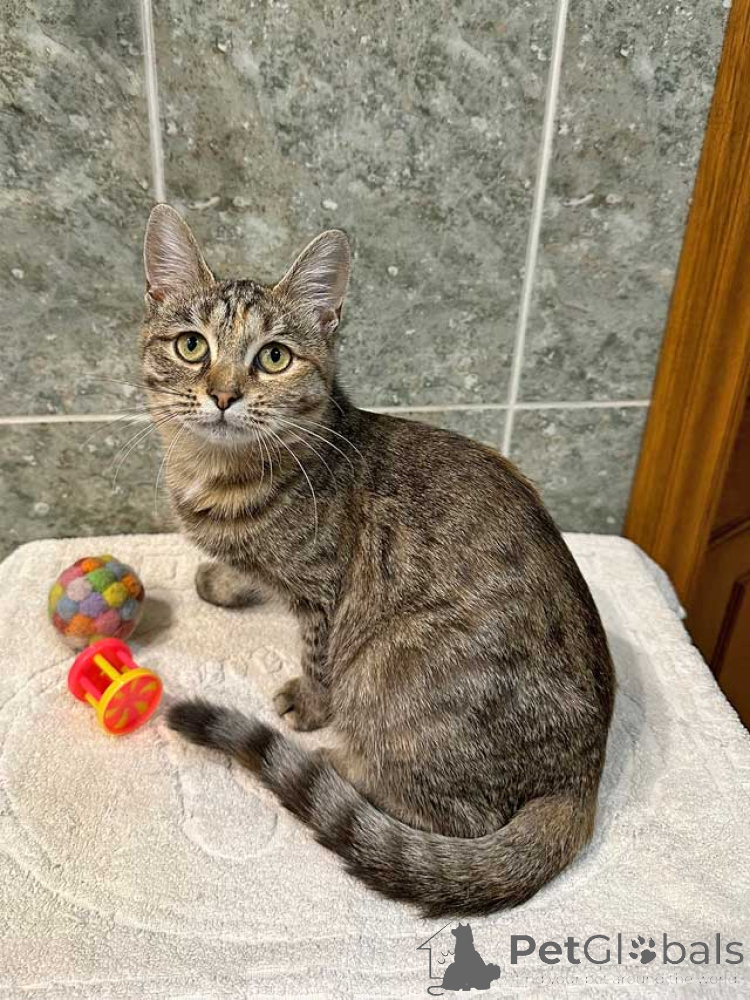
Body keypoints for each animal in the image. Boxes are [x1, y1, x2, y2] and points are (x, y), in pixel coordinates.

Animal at [141, 203, 615, 918]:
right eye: (192, 346)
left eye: (273, 357)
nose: (223, 395)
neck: (218, 474)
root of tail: (583, 778)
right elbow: (242, 571)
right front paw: (223, 579)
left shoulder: (323, 594)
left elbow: (316, 656)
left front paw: (309, 703)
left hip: (395, 663)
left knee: (454, 815)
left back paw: (341, 764)